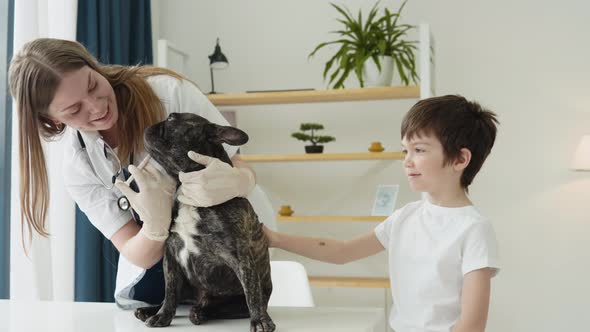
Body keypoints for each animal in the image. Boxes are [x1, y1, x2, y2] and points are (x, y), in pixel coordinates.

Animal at [135, 113, 276, 330]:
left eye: (171, 119)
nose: (151, 125)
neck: (187, 187)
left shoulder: (241, 257)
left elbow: (252, 292)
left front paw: (260, 320)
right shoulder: (171, 254)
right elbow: (169, 291)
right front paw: (163, 316)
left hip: (234, 302)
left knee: (224, 307)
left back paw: (200, 312)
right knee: (176, 297)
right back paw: (150, 310)